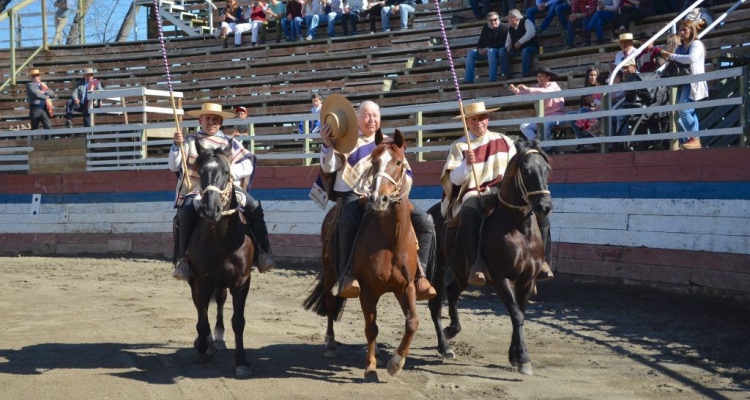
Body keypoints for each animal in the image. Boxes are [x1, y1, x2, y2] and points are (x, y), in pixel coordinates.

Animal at [185, 143, 256, 378]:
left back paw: (218, 337)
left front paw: (242, 362)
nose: (211, 209)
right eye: (201, 172)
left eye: (226, 172)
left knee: (220, 303)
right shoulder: (201, 281)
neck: (222, 239)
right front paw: (202, 347)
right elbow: (201, 318)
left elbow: (238, 321)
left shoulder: (241, 282)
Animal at [306, 130, 424, 382]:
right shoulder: (368, 289)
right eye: (374, 162)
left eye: (398, 162)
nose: (379, 199)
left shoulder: (406, 286)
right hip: (330, 274)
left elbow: (412, 322)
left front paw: (396, 362)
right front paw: (371, 367)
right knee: (330, 304)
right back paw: (330, 344)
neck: (391, 240)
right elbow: (371, 328)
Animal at [426, 138, 556, 376]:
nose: (544, 206)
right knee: (436, 304)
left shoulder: (527, 279)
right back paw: (445, 346)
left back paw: (452, 329)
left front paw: (514, 356)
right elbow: (516, 314)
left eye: (546, 169)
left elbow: (519, 314)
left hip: (462, 272)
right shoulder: (501, 278)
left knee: (452, 291)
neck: (518, 229)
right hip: (438, 268)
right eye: (526, 170)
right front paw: (523, 359)